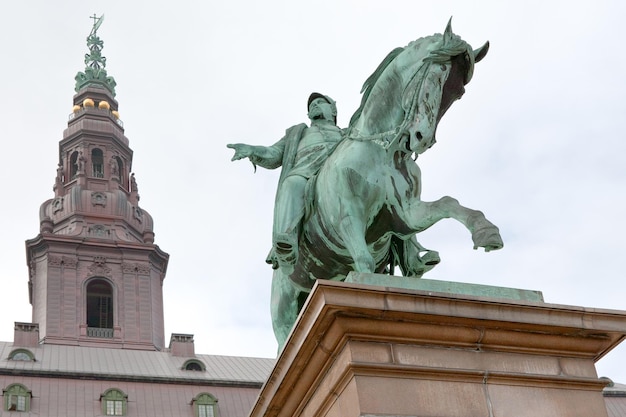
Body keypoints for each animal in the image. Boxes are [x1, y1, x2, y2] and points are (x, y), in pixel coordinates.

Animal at [270, 22, 502, 348]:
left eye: (458, 93)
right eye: (437, 74)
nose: (421, 139)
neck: (380, 149)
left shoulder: (405, 216)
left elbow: (448, 203)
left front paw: (486, 231)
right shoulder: (348, 218)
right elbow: (364, 262)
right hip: (285, 305)